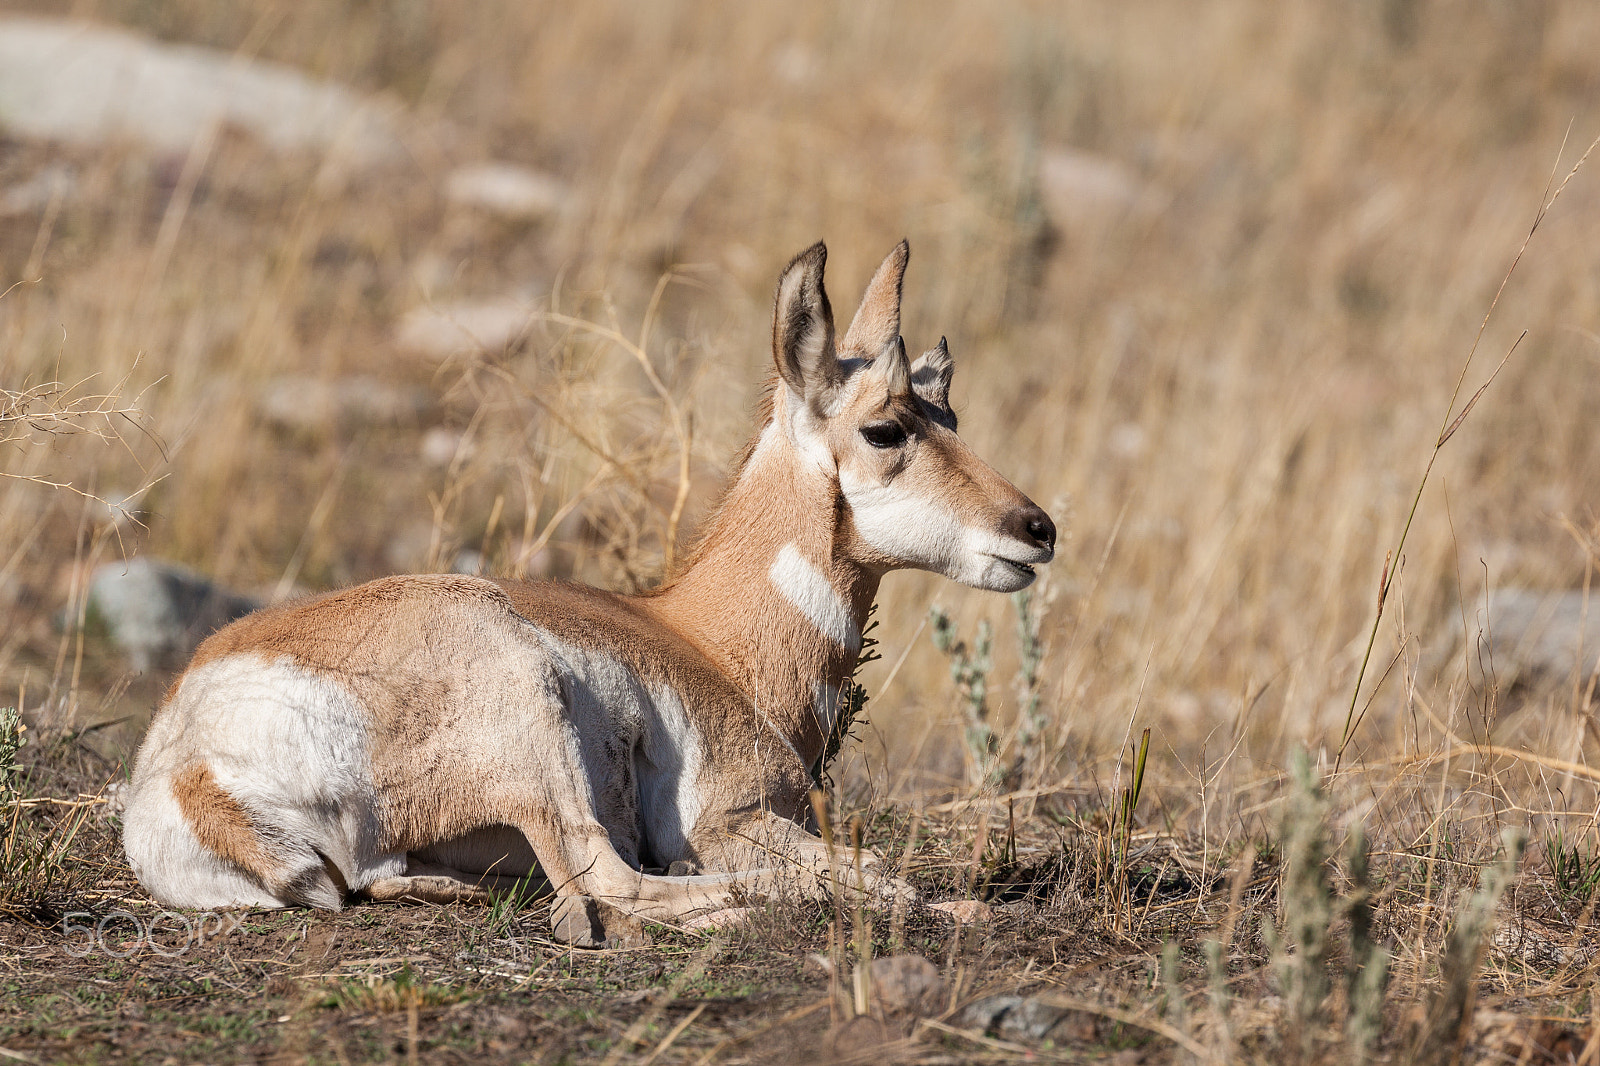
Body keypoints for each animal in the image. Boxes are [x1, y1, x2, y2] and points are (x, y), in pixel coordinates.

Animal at [119, 240, 1056, 945]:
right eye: (886, 428)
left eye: (951, 414)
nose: (1038, 529)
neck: (705, 641)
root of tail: (190, 766)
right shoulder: (732, 819)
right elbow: (873, 868)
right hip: (533, 716)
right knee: (614, 883)